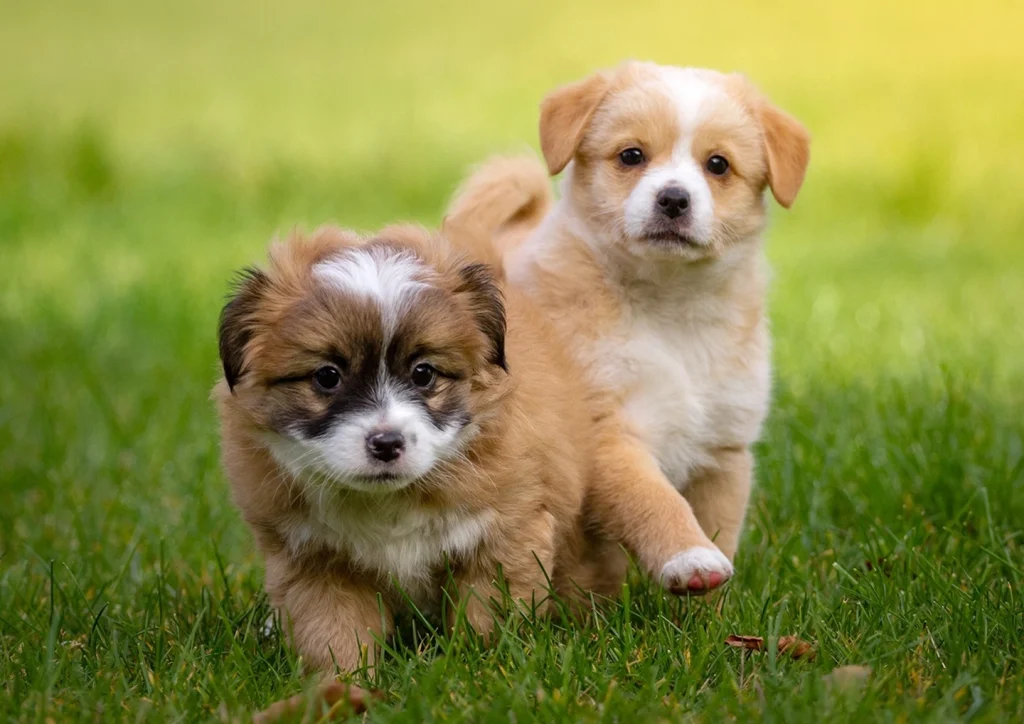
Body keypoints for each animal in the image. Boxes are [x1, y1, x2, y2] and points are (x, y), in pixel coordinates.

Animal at [212, 225, 606, 675]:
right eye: (327, 376)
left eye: (423, 373)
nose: (386, 443)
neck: (390, 500)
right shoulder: (314, 560)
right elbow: (333, 632)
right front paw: (343, 682)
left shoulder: (506, 534)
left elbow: (486, 616)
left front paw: (481, 666)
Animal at [448, 60, 806, 593]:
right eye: (632, 155)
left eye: (718, 165)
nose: (674, 199)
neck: (670, 311)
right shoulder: (606, 434)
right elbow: (653, 500)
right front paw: (689, 557)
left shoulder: (723, 450)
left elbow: (721, 532)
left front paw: (714, 605)